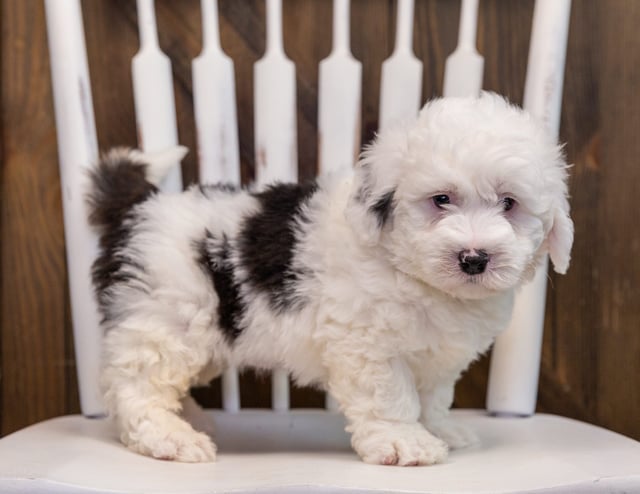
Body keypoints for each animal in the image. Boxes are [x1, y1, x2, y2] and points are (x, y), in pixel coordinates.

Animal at [87, 93, 572, 466]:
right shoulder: (367, 344)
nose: (474, 259)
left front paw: (440, 430)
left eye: (509, 203)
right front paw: (405, 441)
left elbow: (433, 397)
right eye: (441, 200)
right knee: (134, 385)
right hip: (167, 318)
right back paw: (171, 436)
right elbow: (392, 396)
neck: (411, 271)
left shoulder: (438, 356)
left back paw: (188, 417)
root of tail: (138, 206)